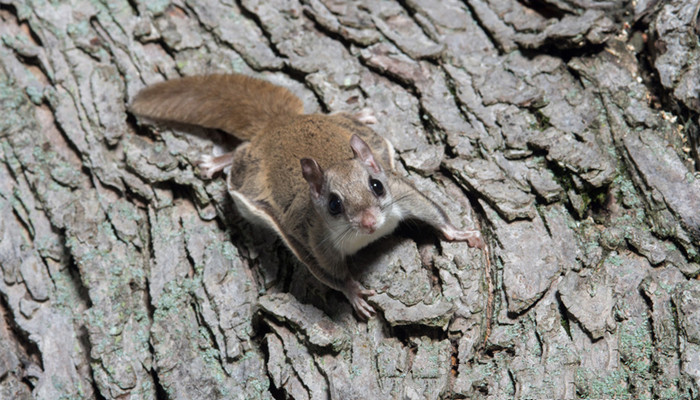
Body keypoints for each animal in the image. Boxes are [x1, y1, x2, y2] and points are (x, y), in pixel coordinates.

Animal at [130, 74, 482, 318]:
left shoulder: (402, 193)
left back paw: (358, 114)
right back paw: (217, 162)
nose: (370, 222)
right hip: (250, 173)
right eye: (334, 205)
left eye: (377, 186)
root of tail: (279, 124)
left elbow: (433, 210)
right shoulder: (312, 238)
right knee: (239, 155)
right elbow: (329, 272)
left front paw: (460, 233)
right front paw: (354, 292)